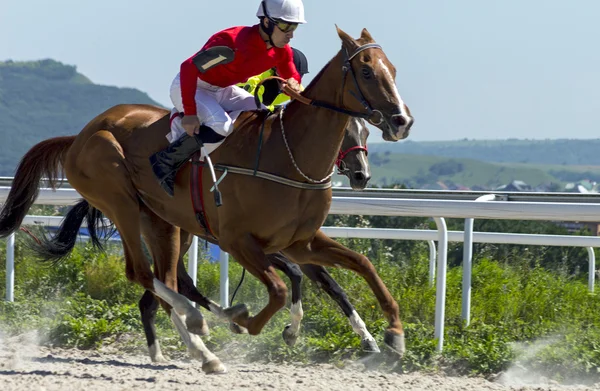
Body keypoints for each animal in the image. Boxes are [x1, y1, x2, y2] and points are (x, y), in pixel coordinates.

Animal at [0, 27, 412, 374]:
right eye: (367, 72)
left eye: (393, 69)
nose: (401, 121)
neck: (289, 154)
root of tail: (80, 136)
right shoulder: (239, 241)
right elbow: (281, 288)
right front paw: (250, 323)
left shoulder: (300, 242)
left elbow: (358, 266)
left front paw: (391, 335)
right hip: (120, 199)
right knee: (143, 274)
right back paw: (201, 324)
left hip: (163, 223)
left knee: (167, 280)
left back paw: (203, 350)